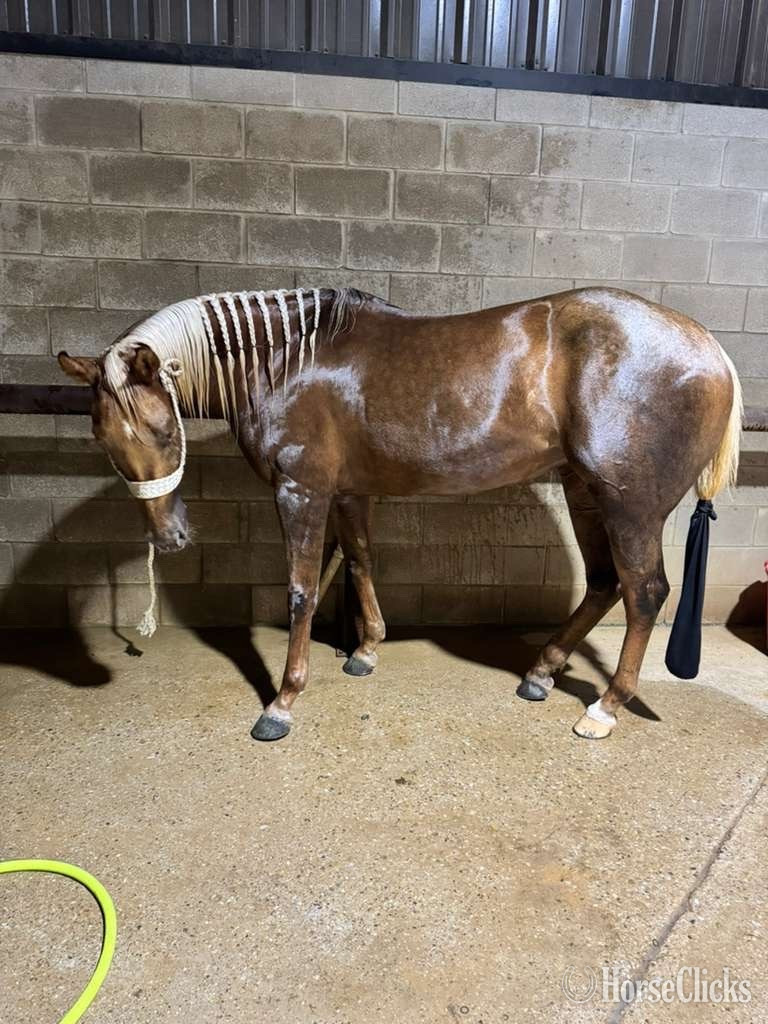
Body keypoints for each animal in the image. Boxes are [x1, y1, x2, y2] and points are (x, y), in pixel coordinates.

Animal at [58, 285, 741, 742]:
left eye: (160, 427)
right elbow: (360, 559)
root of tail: (710, 348)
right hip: (582, 489)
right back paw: (542, 673)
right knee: (603, 582)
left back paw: (604, 707)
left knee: (644, 592)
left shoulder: (301, 491)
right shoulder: (348, 493)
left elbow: (302, 590)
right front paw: (365, 650)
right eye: (101, 436)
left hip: (630, 504)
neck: (287, 361)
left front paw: (282, 701)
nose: (168, 536)